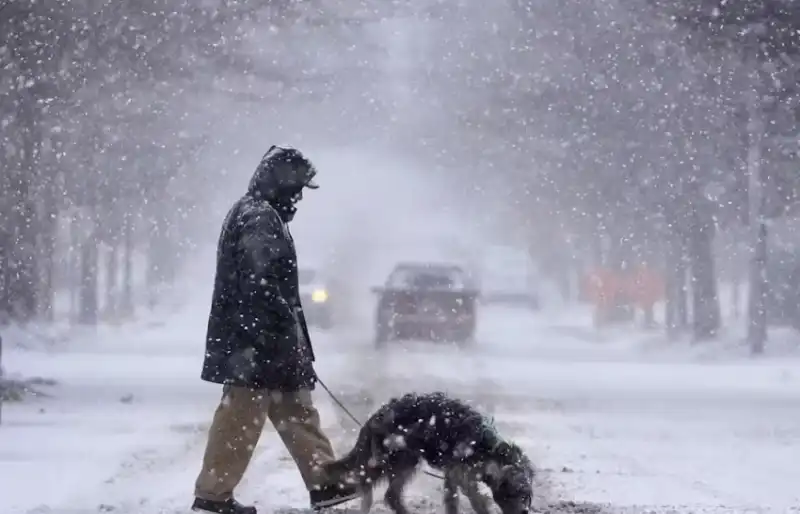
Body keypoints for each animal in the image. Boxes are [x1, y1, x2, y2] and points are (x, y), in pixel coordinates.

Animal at [318, 390, 532, 512]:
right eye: (516, 492)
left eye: (526, 494)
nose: (524, 512)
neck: (486, 447)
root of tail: (375, 417)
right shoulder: (462, 474)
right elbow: (477, 500)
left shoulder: (453, 474)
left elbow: (452, 500)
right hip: (400, 456)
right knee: (384, 492)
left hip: (390, 459)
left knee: (378, 489)